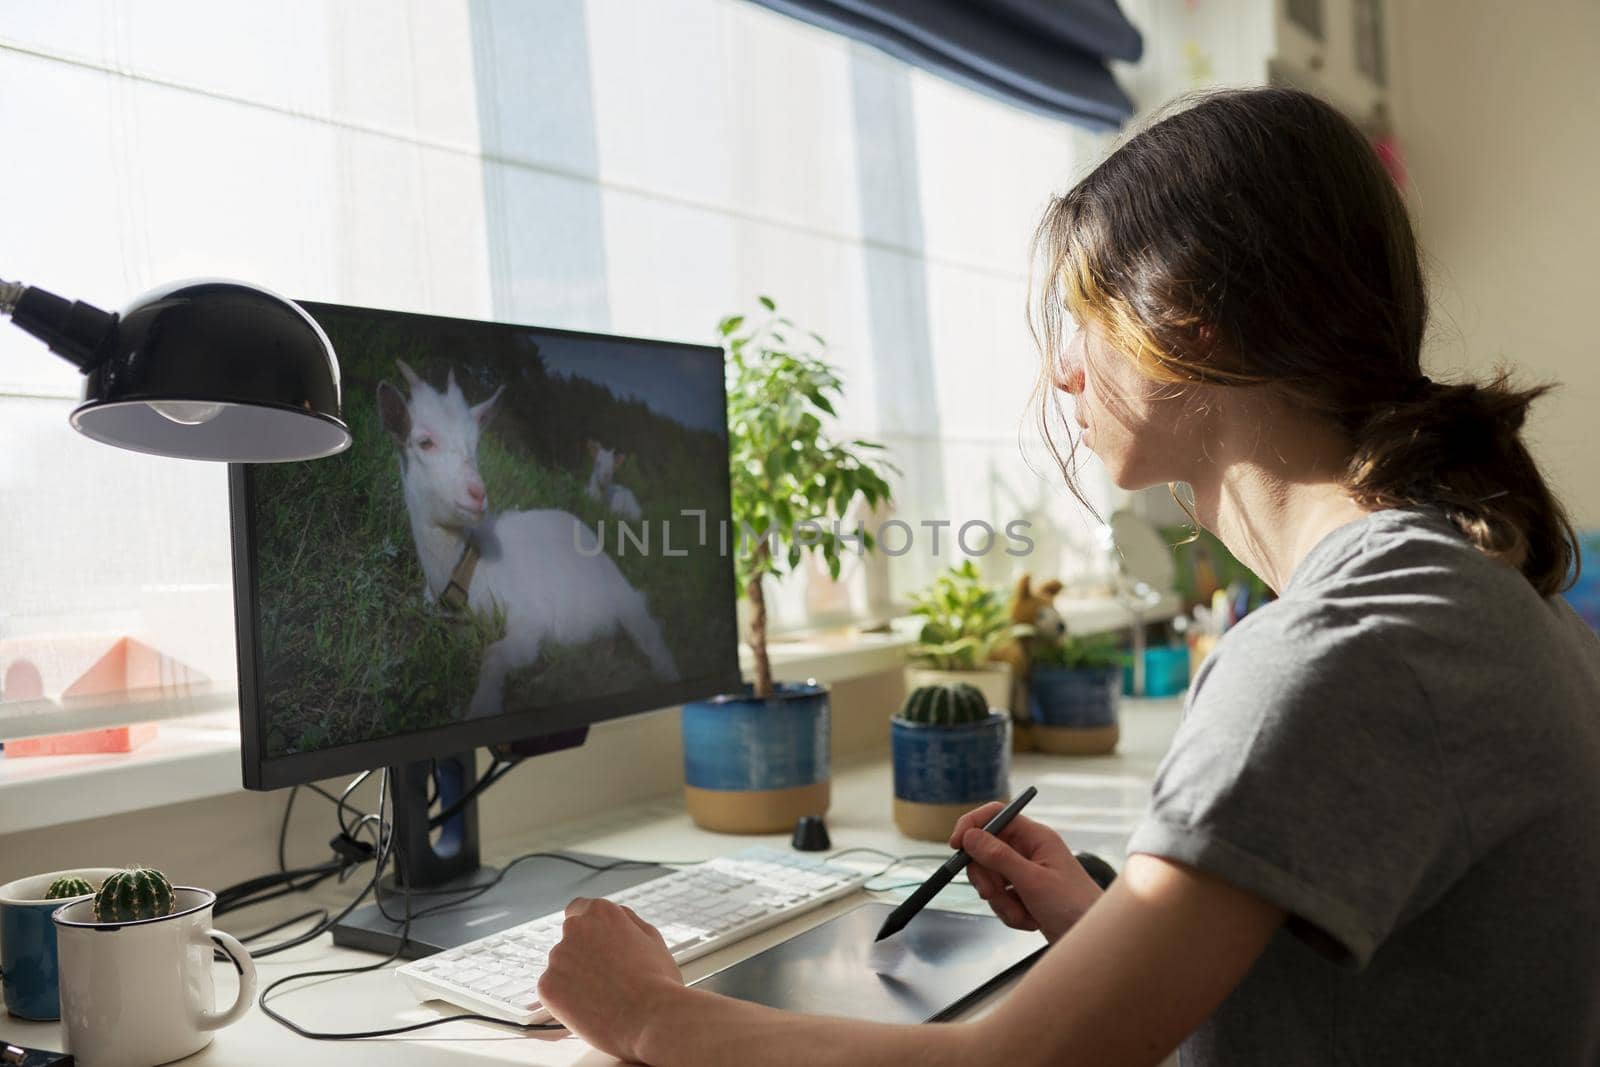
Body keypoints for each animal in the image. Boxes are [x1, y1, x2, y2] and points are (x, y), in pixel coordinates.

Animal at [377, 363, 678, 723]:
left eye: (475, 444)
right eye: (425, 442)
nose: (478, 494)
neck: (466, 573)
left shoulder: (531, 621)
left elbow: (494, 654)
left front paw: (484, 704)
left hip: (622, 594)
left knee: (648, 631)